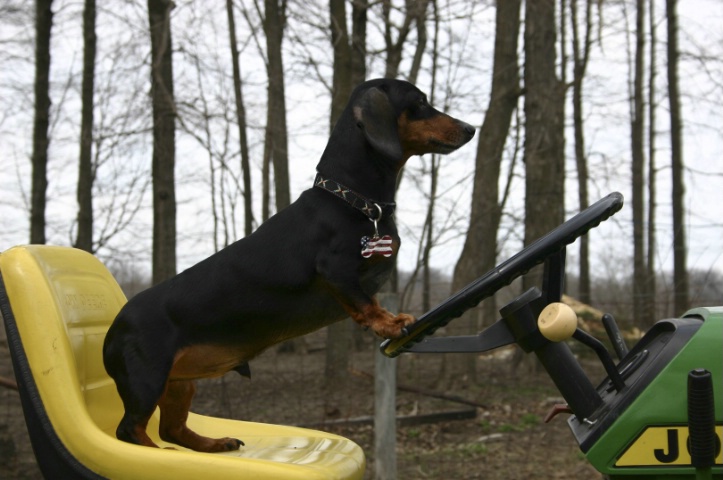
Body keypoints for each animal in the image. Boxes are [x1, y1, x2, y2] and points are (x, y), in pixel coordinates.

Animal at [102, 78, 476, 450]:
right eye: (420, 101)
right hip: (147, 380)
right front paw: (388, 322)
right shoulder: (335, 270)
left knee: (172, 429)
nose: (470, 128)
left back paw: (213, 445)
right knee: (129, 431)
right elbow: (365, 303)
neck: (352, 201)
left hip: (179, 382)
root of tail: (111, 332)